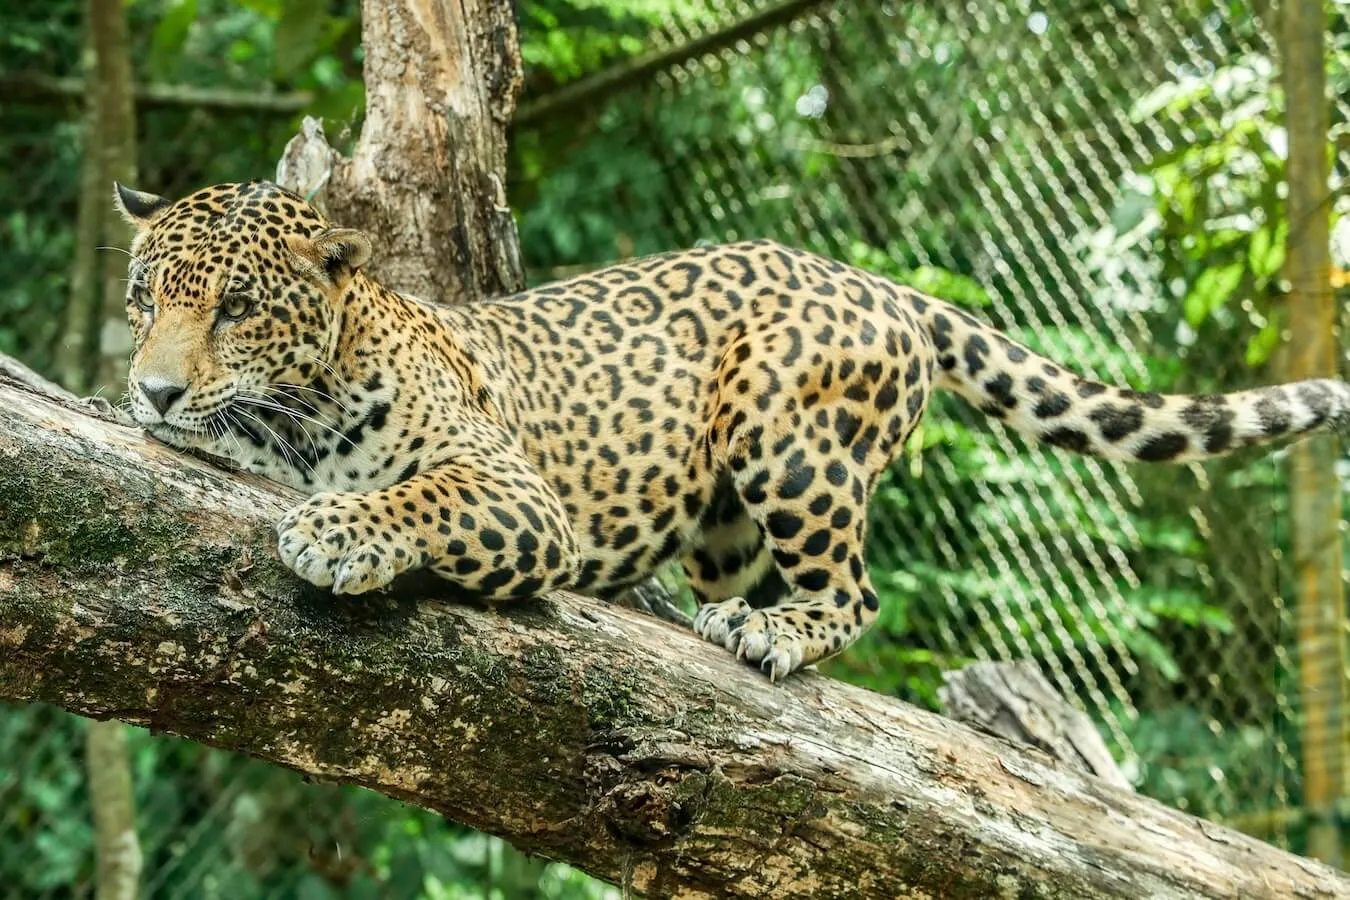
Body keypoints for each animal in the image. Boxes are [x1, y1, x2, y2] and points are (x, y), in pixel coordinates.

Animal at [113, 179, 1350, 681]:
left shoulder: (518, 497)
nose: (153, 393)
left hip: (789, 440)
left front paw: (335, 531)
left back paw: (775, 635)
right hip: (719, 522)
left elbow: (420, 492)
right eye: (143, 297)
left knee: (853, 591)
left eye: (237, 309)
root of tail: (877, 281)